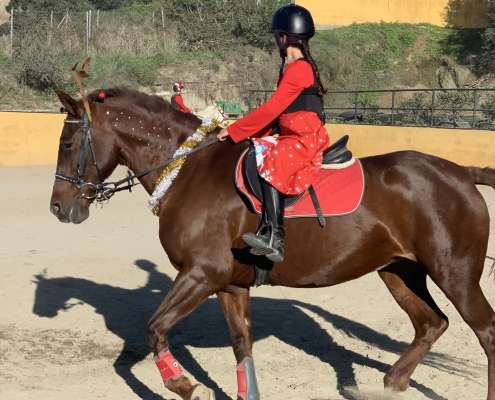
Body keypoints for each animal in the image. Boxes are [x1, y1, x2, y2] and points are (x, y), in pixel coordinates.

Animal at [50, 89, 495, 400]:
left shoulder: (201, 274)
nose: (58, 207)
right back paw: (390, 383)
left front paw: (185, 386)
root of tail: (459, 172)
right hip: (399, 271)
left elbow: (155, 328)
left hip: (454, 273)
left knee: (485, 331)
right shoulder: (230, 285)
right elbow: (241, 345)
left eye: (68, 144)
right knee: (432, 323)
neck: (187, 169)